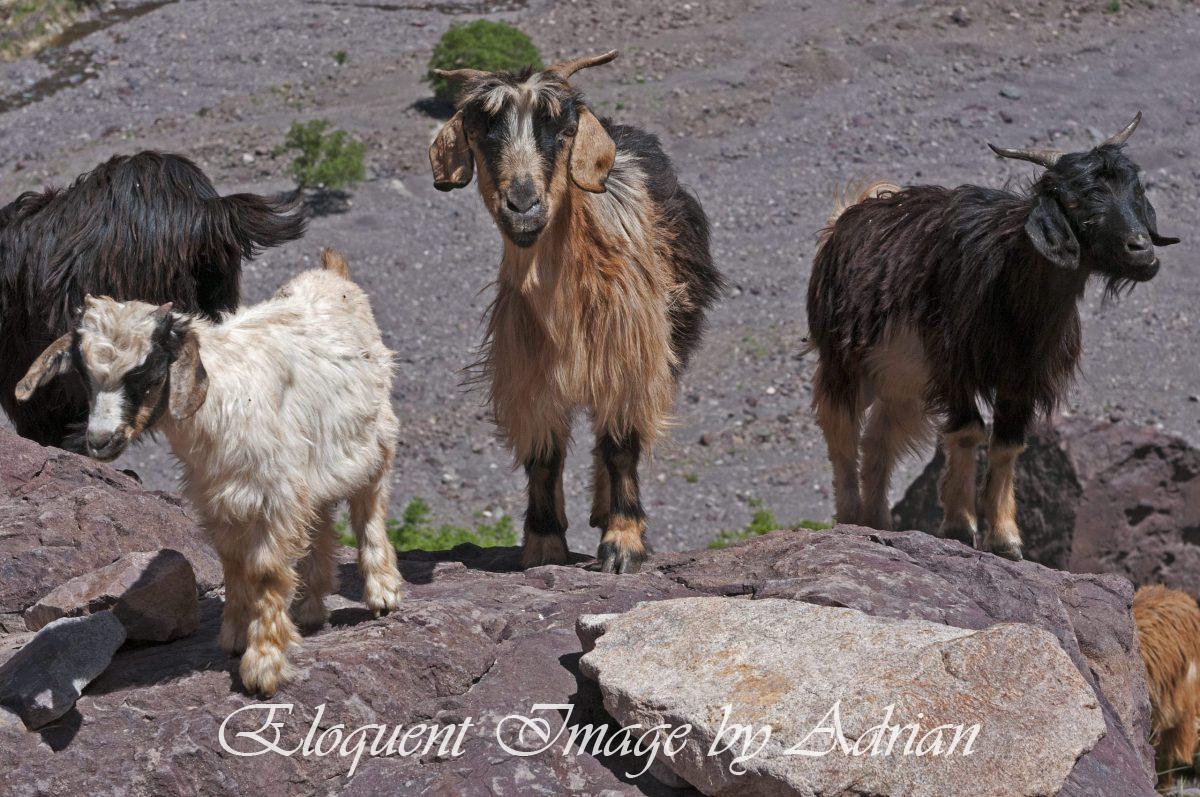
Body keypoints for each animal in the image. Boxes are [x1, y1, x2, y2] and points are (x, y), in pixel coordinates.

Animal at [14, 249, 403, 696]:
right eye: (84, 375)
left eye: (149, 374)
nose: (99, 440)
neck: (219, 399)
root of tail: (331, 273)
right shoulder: (219, 496)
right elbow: (232, 563)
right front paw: (235, 635)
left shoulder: (274, 492)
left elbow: (265, 572)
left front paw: (263, 664)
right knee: (319, 518)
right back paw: (310, 606)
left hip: (374, 438)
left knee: (369, 507)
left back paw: (382, 593)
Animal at [428, 51, 723, 574]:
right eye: (481, 131)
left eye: (562, 130)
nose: (523, 204)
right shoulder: (527, 372)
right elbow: (544, 454)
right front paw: (543, 542)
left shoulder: (629, 355)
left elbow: (621, 445)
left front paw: (623, 541)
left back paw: (606, 511)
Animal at [807, 113, 1178, 560]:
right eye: (1077, 200)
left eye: (1135, 188)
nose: (1141, 251)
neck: (1012, 288)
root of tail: (847, 216)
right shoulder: (953, 367)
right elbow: (968, 433)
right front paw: (958, 525)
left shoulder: (1022, 378)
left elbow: (1006, 444)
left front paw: (1005, 539)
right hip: (844, 360)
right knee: (841, 430)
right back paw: (849, 516)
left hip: (902, 384)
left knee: (879, 439)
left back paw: (877, 521)